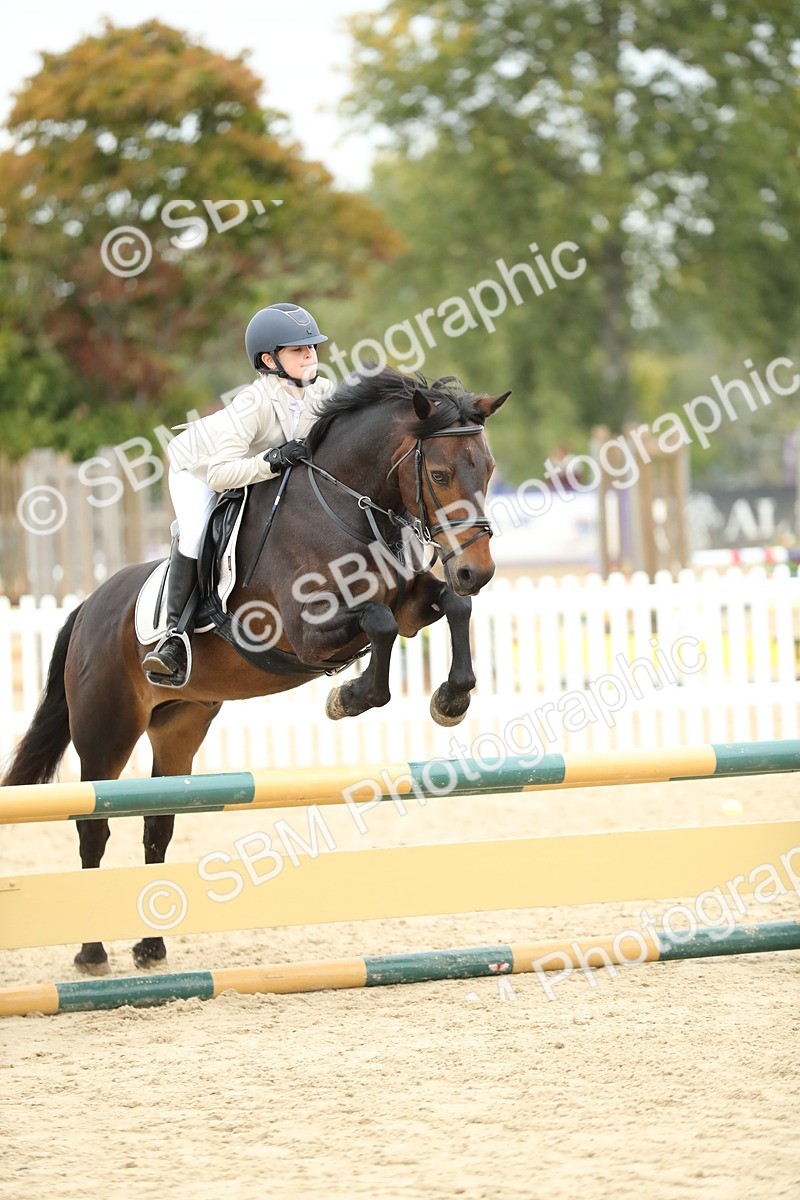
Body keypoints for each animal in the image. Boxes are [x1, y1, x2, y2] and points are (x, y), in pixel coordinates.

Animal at [2, 367, 509, 972]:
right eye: (438, 473)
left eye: (489, 469)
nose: (477, 571)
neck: (344, 505)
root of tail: (88, 607)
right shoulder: (308, 632)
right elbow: (380, 622)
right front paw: (350, 697)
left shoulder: (412, 601)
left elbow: (448, 608)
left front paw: (451, 699)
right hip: (106, 733)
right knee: (93, 827)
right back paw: (92, 952)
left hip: (180, 725)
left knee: (157, 822)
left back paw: (150, 947)